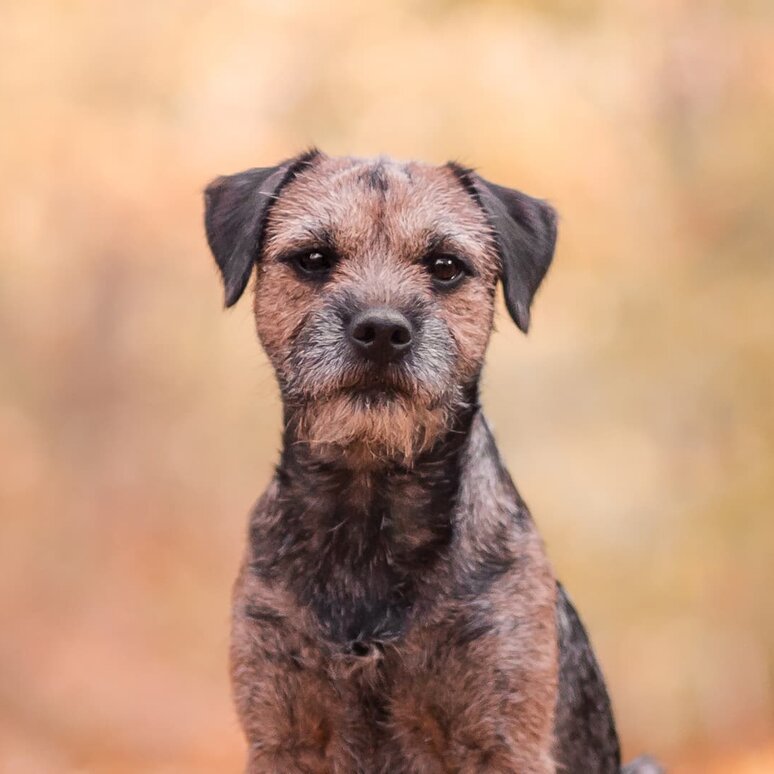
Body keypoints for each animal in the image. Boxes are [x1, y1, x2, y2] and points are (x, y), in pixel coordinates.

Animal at [202, 152, 660, 774]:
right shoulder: (283, 736)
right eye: (313, 258)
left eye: (445, 266)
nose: (381, 330)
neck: (369, 512)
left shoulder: (503, 737)